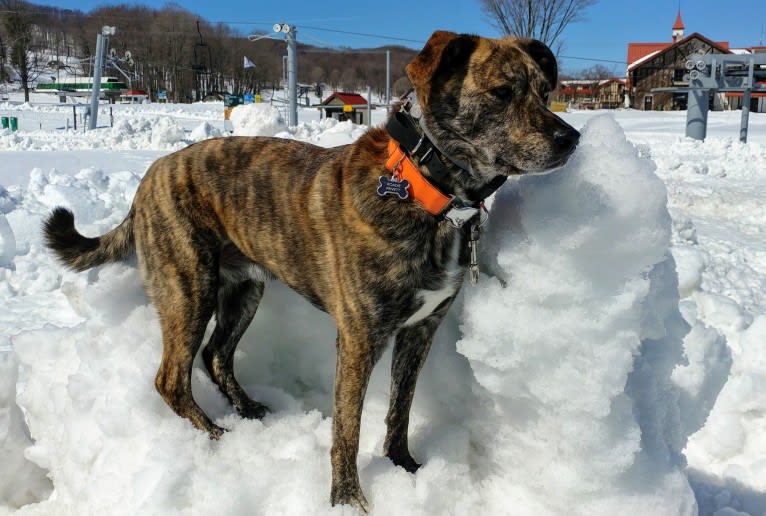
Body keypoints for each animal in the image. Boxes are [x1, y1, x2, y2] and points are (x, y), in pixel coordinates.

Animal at [42, 32, 580, 512]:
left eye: (544, 90)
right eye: (502, 92)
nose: (571, 137)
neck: (427, 191)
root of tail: (149, 178)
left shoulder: (421, 330)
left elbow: (400, 409)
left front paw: (404, 468)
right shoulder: (360, 338)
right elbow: (348, 428)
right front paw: (347, 500)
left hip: (245, 289)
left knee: (216, 355)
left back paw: (248, 411)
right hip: (187, 286)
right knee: (171, 378)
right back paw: (216, 436)